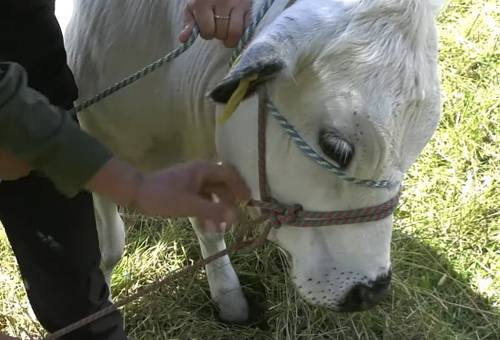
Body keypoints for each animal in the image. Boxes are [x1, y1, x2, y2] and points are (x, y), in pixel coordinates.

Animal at [65, 0, 442, 322]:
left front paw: (228, 295)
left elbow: (207, 224)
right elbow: (110, 246)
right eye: (335, 147)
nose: (371, 292)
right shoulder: (91, 139)